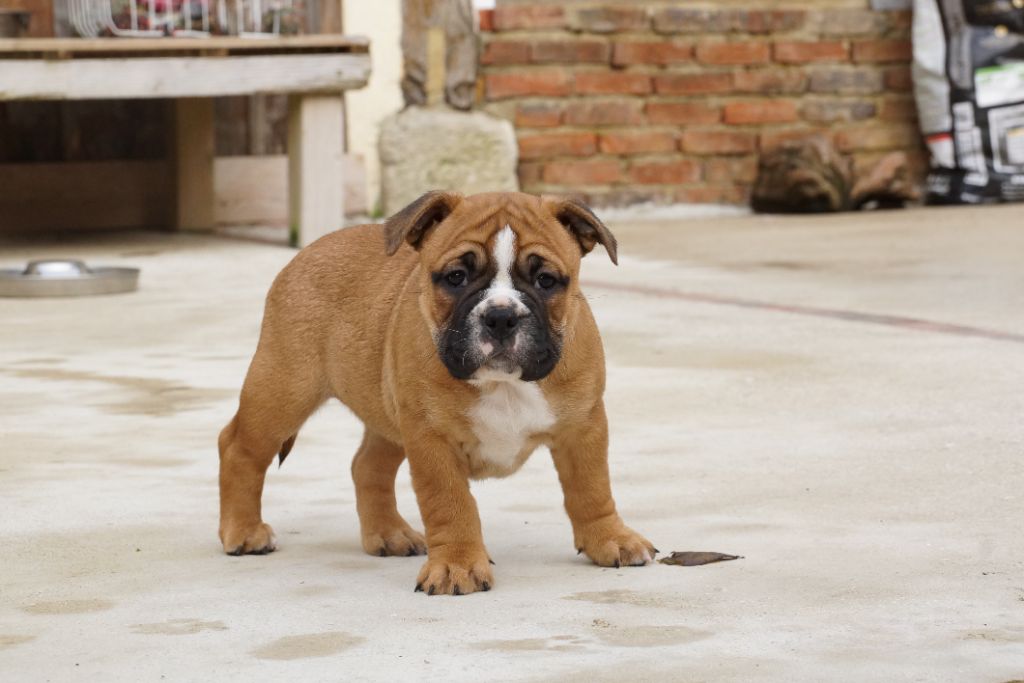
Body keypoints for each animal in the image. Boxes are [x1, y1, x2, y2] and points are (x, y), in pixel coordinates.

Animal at [218, 191, 656, 595]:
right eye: (456, 277)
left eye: (546, 280)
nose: (501, 316)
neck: (503, 383)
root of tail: (306, 253)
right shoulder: (431, 440)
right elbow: (450, 503)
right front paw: (457, 565)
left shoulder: (583, 426)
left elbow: (592, 489)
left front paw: (610, 539)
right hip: (283, 389)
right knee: (238, 447)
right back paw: (243, 531)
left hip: (388, 416)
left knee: (367, 465)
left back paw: (388, 534)